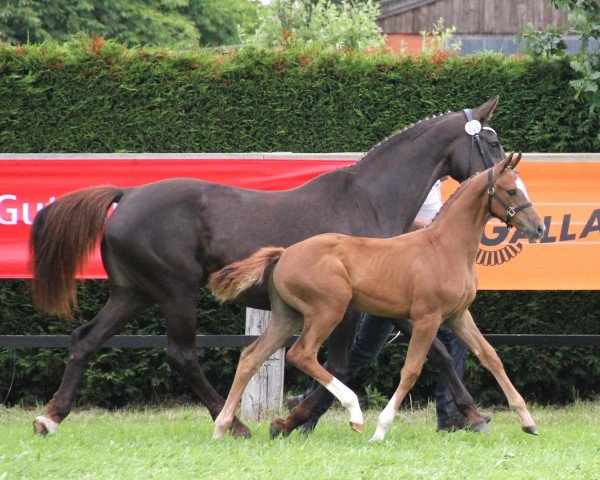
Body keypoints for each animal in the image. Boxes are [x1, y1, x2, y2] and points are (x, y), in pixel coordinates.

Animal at [31, 96, 502, 436]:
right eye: (494, 143)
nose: (508, 184)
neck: (366, 200)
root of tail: (126, 195)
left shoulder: (389, 302)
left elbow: (439, 352)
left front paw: (473, 415)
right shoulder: (349, 308)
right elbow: (339, 364)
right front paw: (292, 420)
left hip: (133, 293)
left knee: (86, 339)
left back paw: (50, 417)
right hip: (175, 291)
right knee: (182, 355)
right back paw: (236, 424)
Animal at [210, 152, 544, 440]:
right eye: (512, 191)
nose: (539, 228)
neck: (444, 247)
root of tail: (284, 253)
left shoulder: (459, 316)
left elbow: (490, 356)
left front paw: (527, 421)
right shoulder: (427, 318)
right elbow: (411, 370)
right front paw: (381, 430)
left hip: (287, 317)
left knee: (250, 357)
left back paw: (223, 426)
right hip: (329, 311)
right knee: (302, 354)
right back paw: (354, 414)